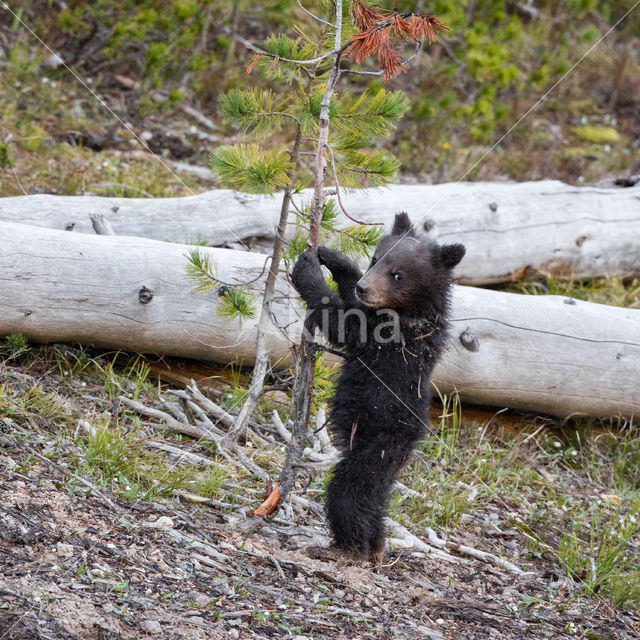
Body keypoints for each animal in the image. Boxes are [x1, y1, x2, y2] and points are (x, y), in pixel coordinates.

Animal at [292, 211, 464, 560]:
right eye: (375, 259)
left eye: (397, 275)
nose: (364, 287)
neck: (410, 311)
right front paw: (335, 258)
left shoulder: (388, 339)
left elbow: (341, 322)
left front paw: (308, 270)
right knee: (376, 501)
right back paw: (376, 541)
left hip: (376, 442)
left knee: (349, 492)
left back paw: (349, 545)